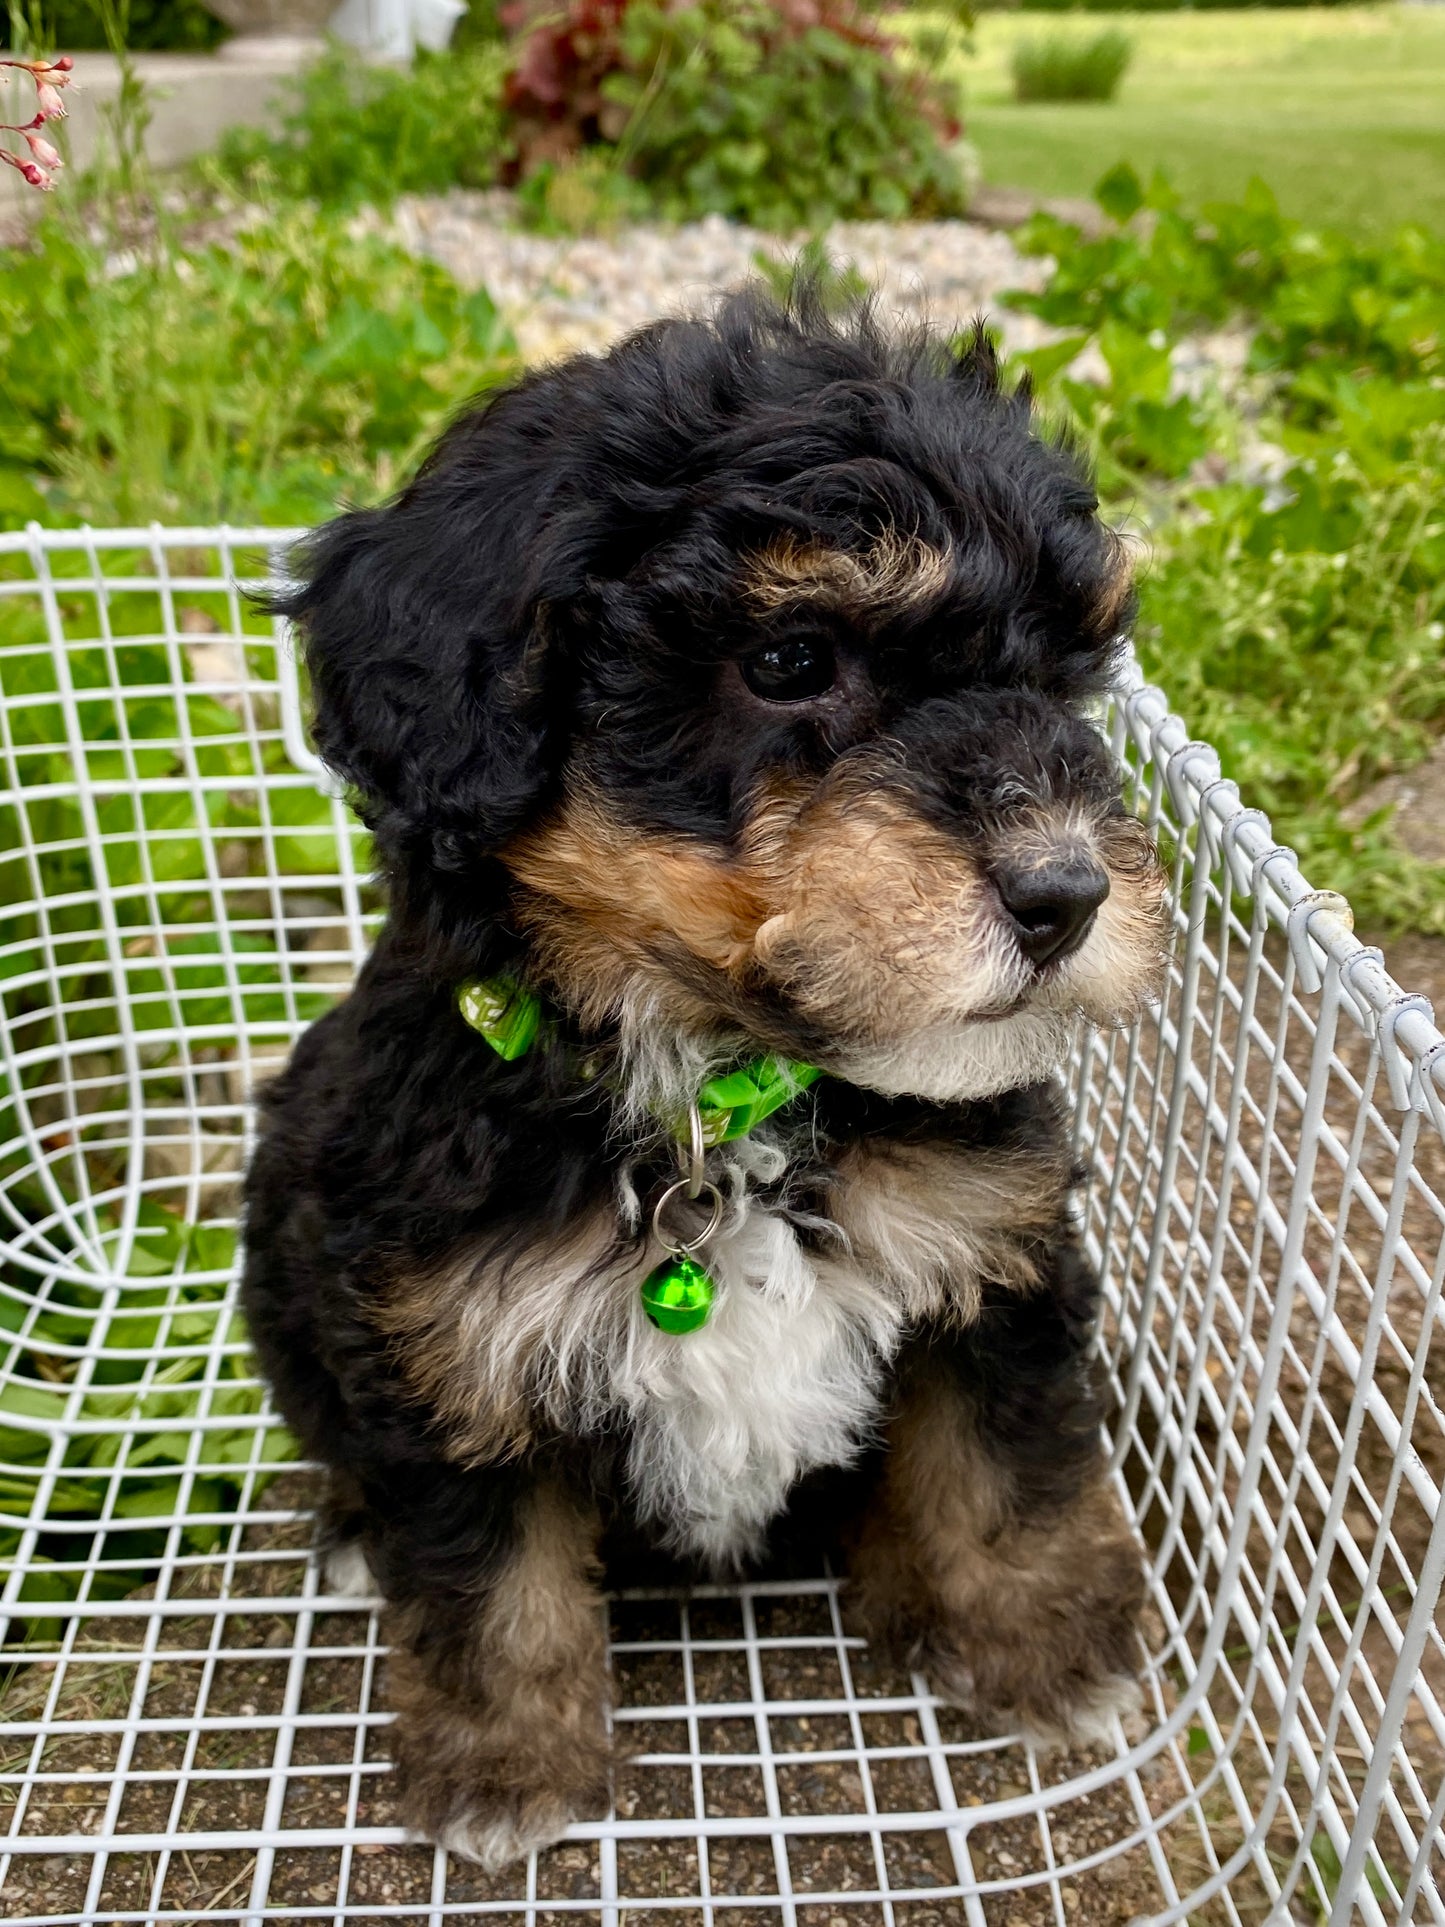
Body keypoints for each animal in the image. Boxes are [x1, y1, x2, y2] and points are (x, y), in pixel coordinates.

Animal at [243, 285, 1179, 1865]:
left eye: (1064, 678)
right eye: (789, 661)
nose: (1065, 892)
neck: (730, 1098)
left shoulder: (996, 1249)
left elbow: (1006, 1464)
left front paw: (1046, 1649)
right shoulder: (450, 1326)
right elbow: (487, 1566)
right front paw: (506, 1769)